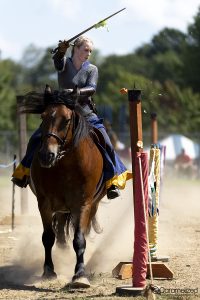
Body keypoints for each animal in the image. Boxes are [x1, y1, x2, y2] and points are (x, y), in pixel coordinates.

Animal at [22, 89, 106, 288]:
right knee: (59, 231)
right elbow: (48, 237)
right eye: (43, 117)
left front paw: (80, 275)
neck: (65, 165)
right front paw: (48, 271)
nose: (47, 155)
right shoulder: (44, 204)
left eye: (66, 120)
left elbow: (79, 239)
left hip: (91, 205)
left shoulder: (83, 204)